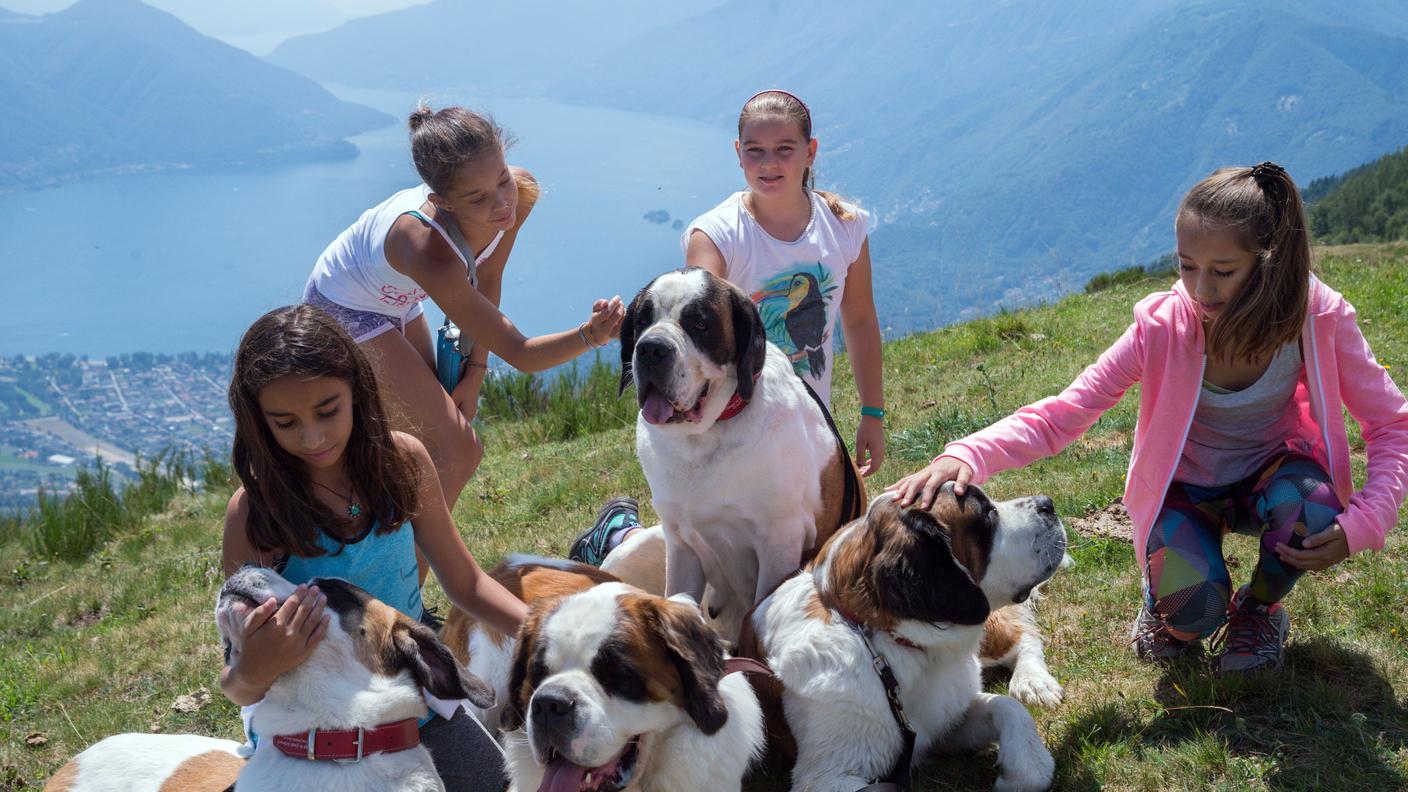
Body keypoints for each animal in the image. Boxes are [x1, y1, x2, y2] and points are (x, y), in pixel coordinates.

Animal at [608, 267, 867, 636]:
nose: (651, 348)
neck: (703, 437)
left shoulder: (779, 541)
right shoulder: (680, 543)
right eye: (642, 320)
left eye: (700, 323)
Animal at [743, 481, 1058, 789]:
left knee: (1021, 638)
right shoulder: (830, 777)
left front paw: (1024, 768)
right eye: (987, 514)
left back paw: (1034, 681)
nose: (1048, 504)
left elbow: (1008, 708)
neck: (878, 640)